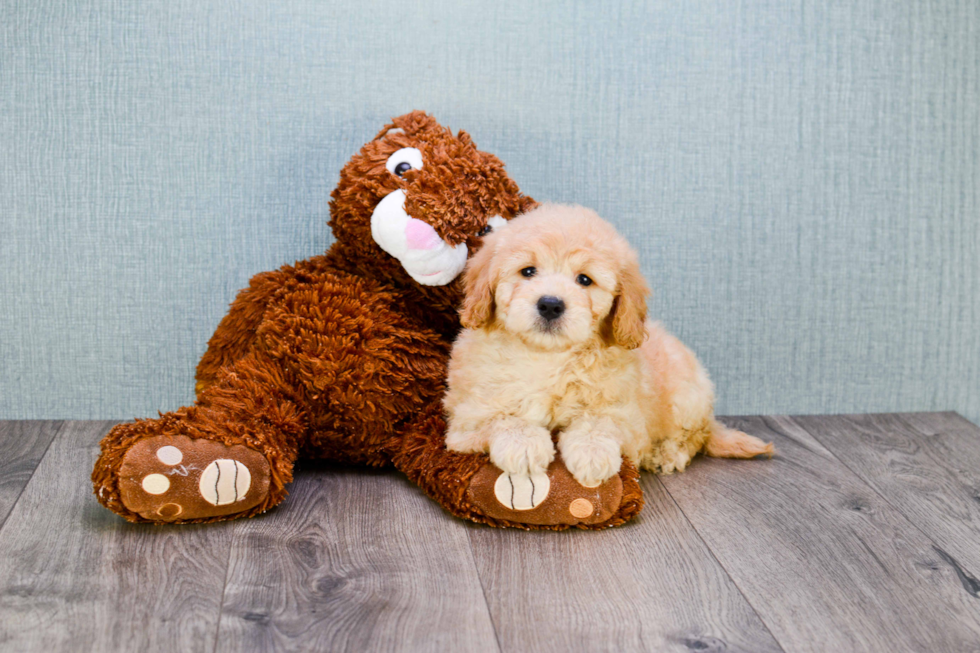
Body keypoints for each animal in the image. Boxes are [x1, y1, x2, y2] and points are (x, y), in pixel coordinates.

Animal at [444, 204, 772, 488]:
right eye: (527, 271)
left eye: (584, 280)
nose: (550, 305)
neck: (548, 358)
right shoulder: (466, 419)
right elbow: (505, 418)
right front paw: (524, 445)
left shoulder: (628, 418)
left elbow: (600, 421)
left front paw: (592, 453)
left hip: (687, 398)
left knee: (695, 437)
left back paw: (666, 454)